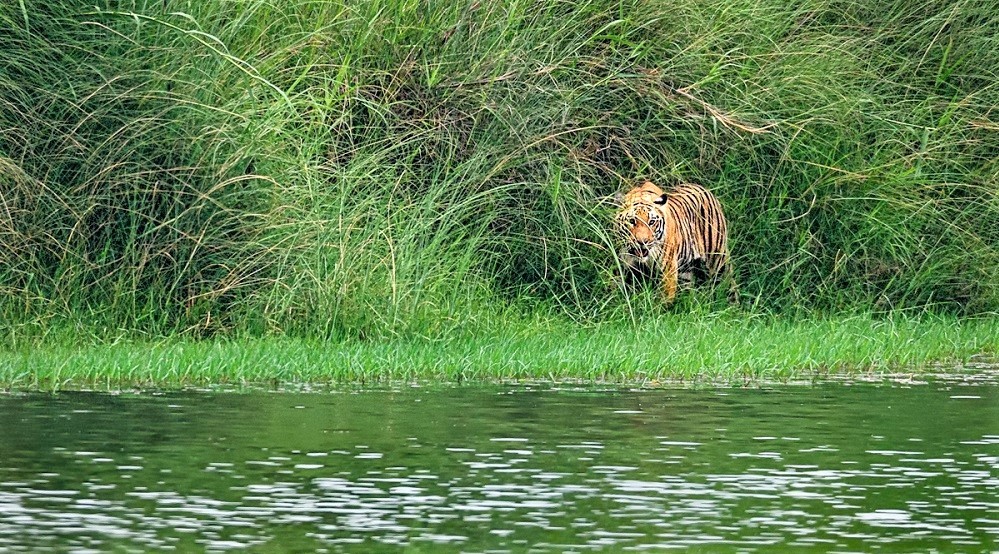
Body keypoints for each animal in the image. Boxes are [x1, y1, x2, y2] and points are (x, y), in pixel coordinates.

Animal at [608, 180, 736, 302]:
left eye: (651, 222)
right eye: (632, 221)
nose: (642, 241)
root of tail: (705, 189)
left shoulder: (667, 273)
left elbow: (661, 303)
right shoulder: (623, 267)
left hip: (718, 261)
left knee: (728, 285)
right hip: (686, 272)